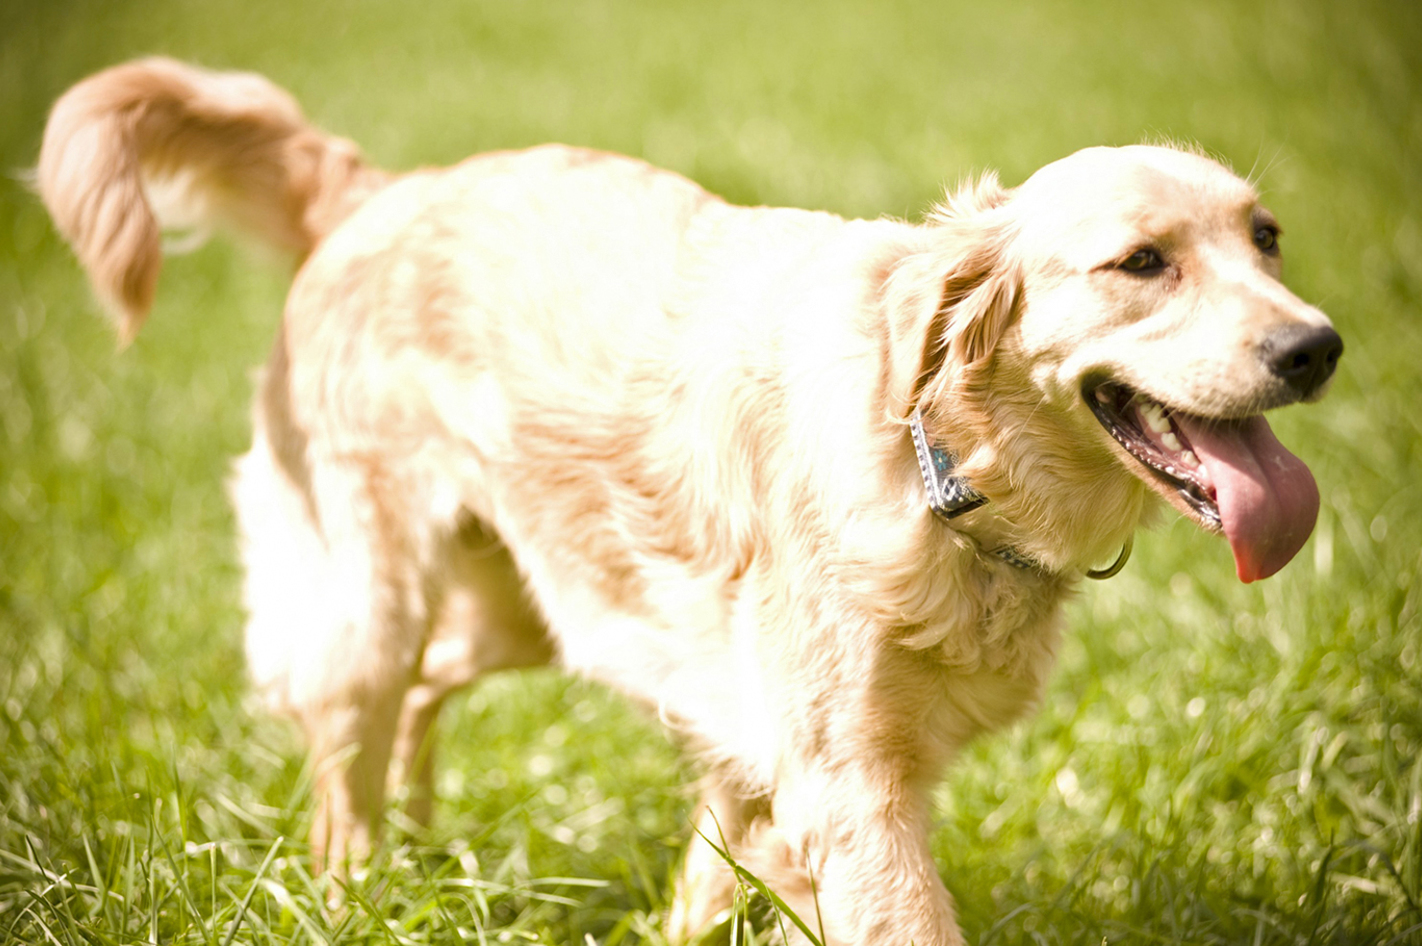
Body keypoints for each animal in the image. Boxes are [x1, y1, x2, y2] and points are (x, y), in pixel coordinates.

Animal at [38, 59, 1336, 944]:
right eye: (1142, 262)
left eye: (1268, 238)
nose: (1317, 346)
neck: (944, 465)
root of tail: (376, 191)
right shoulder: (848, 788)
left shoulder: (766, 764)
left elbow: (710, 892)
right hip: (375, 595)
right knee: (339, 766)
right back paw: (363, 887)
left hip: (520, 604)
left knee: (415, 703)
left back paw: (422, 845)